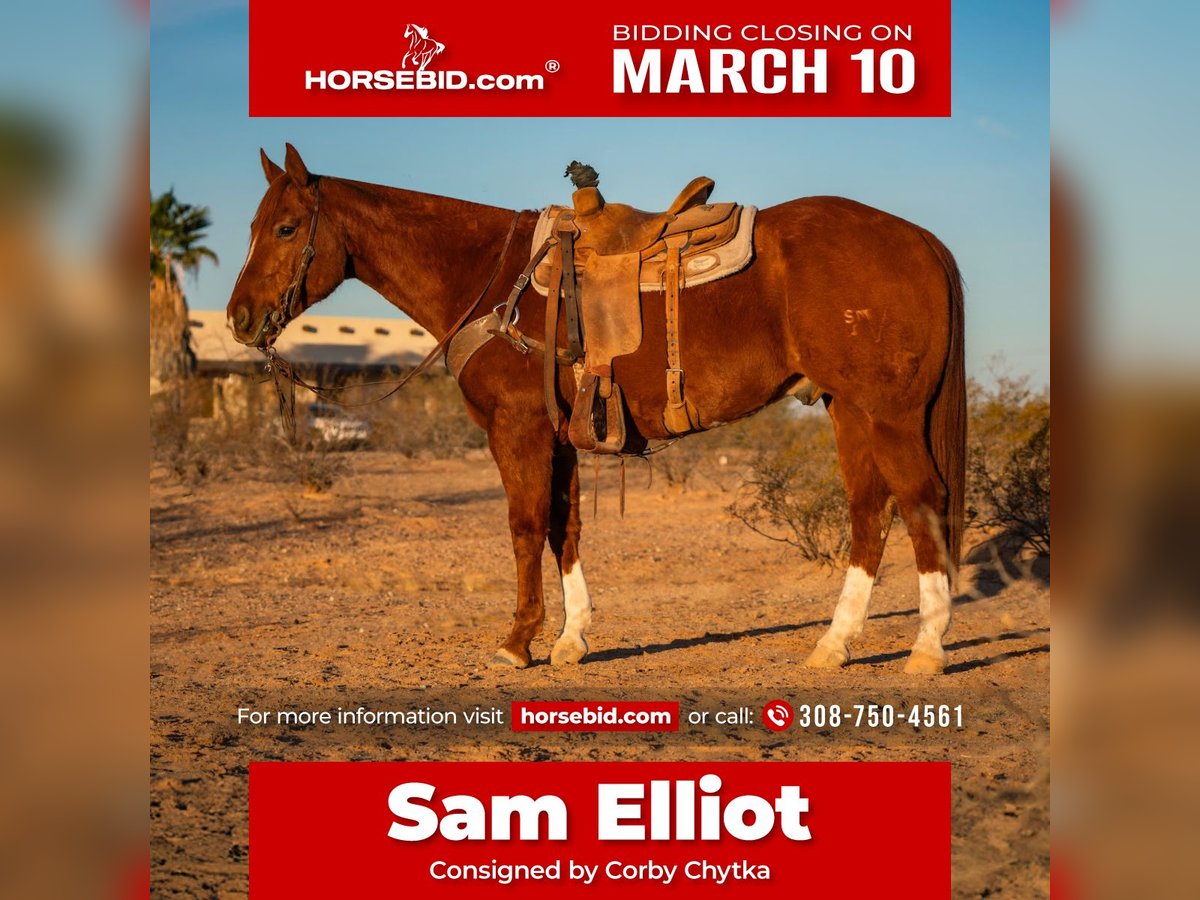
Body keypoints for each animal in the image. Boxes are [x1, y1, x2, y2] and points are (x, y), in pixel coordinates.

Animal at [229, 142, 969, 676]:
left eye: (287, 228)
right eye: (253, 226)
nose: (240, 317)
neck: (488, 278)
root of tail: (920, 240)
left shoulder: (518, 431)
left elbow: (527, 527)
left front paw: (518, 641)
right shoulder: (559, 437)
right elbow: (567, 528)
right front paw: (570, 639)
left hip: (889, 414)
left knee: (920, 501)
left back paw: (926, 649)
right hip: (849, 411)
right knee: (869, 512)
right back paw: (832, 646)